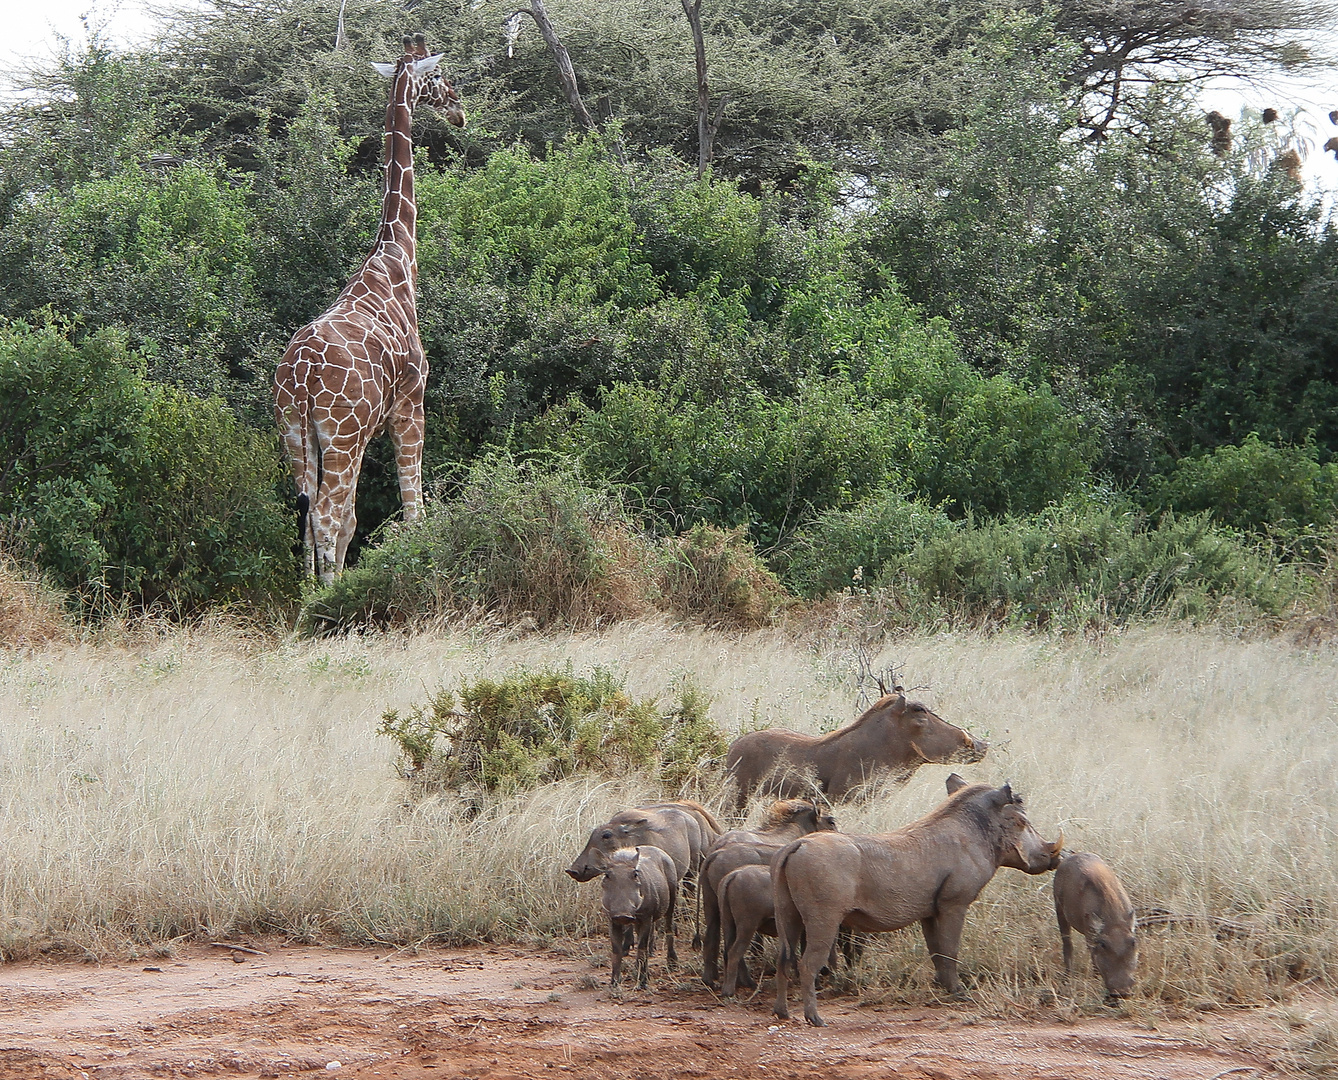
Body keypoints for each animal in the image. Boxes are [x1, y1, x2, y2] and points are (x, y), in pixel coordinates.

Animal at [272, 35, 465, 583]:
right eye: (436, 78)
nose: (460, 110)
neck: (394, 255)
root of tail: (300, 379)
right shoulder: (411, 403)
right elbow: (413, 505)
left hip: (296, 433)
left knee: (309, 512)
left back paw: (310, 593)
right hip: (342, 436)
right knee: (327, 513)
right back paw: (327, 595)